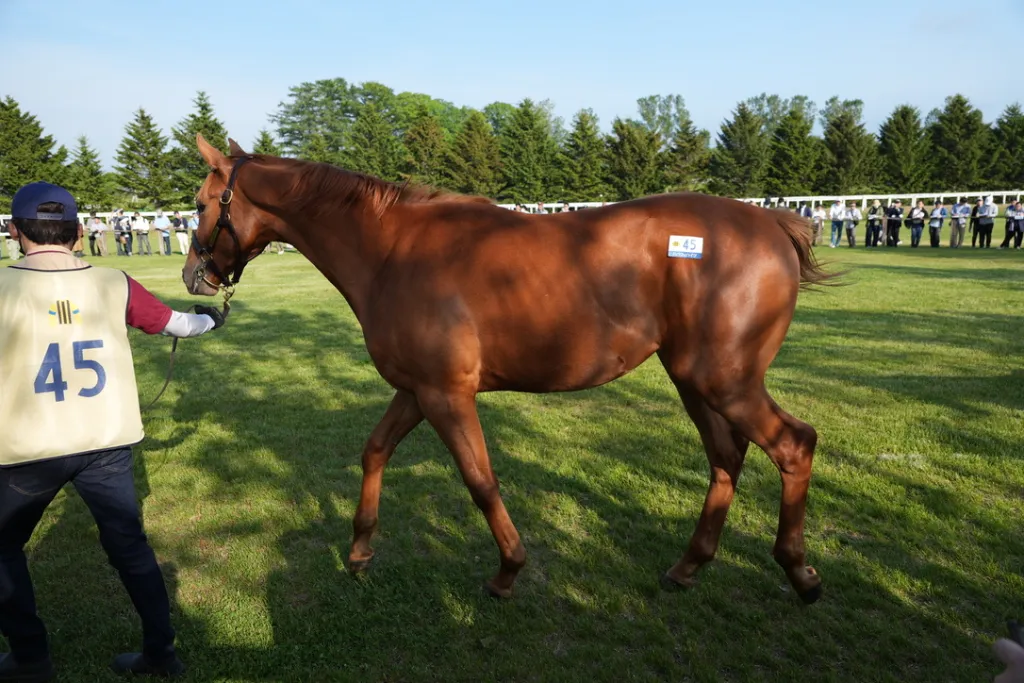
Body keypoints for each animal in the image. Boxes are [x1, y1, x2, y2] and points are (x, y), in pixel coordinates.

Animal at [183, 133, 837, 604]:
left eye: (199, 204)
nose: (194, 277)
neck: (393, 251)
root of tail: (771, 222)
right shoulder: (417, 391)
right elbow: (375, 451)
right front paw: (360, 550)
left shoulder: (446, 395)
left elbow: (480, 479)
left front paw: (507, 570)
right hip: (694, 382)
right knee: (727, 458)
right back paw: (688, 565)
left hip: (723, 382)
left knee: (793, 445)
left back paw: (800, 573)